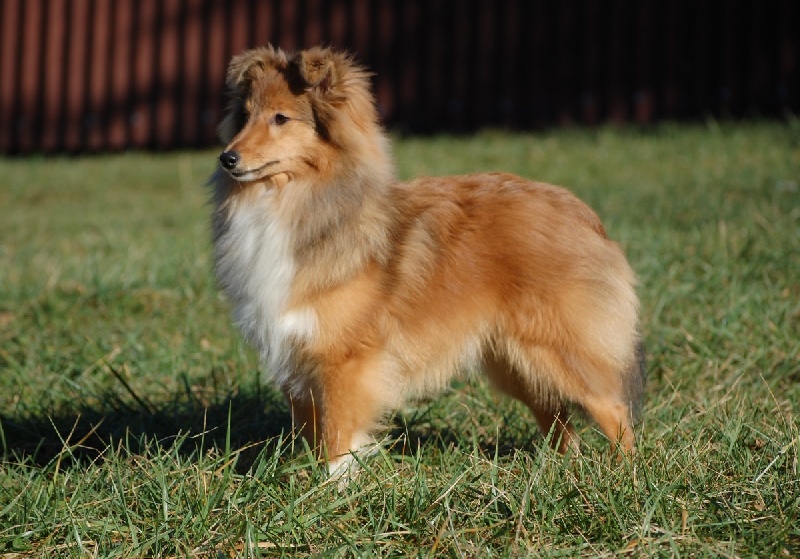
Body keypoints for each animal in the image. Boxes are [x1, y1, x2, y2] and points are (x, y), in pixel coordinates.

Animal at [210, 45, 645, 473]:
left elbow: (337, 436)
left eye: (280, 118)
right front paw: (308, 482)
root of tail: (582, 213)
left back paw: (622, 476)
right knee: (557, 418)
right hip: (515, 361)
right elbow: (312, 433)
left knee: (613, 409)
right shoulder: (295, 355)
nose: (226, 158)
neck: (293, 201)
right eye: (244, 116)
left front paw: (331, 488)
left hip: (555, 351)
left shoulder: (343, 361)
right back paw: (559, 471)